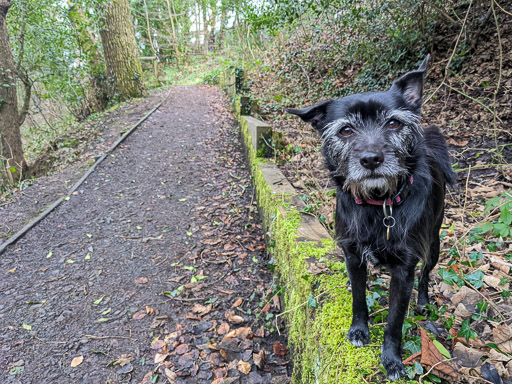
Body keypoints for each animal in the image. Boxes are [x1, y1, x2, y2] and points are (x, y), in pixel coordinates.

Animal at [290, 56, 454, 380]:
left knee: (426, 275)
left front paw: (391, 360)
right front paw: (358, 330)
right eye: (345, 131)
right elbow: (357, 298)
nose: (371, 159)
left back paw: (423, 302)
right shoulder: (352, 255)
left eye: (393, 123)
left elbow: (394, 321)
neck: (378, 205)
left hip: (434, 243)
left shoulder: (404, 270)